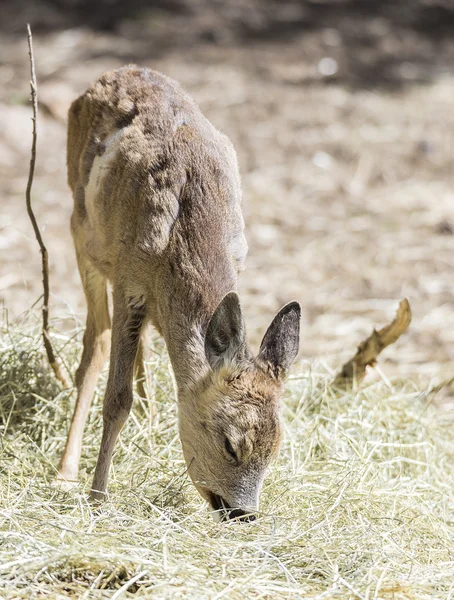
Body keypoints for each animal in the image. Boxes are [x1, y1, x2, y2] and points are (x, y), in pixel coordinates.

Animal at [58, 67, 302, 520]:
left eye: (275, 448)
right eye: (230, 444)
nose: (243, 512)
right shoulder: (129, 279)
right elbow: (116, 398)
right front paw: (98, 497)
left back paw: (150, 415)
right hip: (82, 233)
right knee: (96, 342)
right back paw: (65, 471)